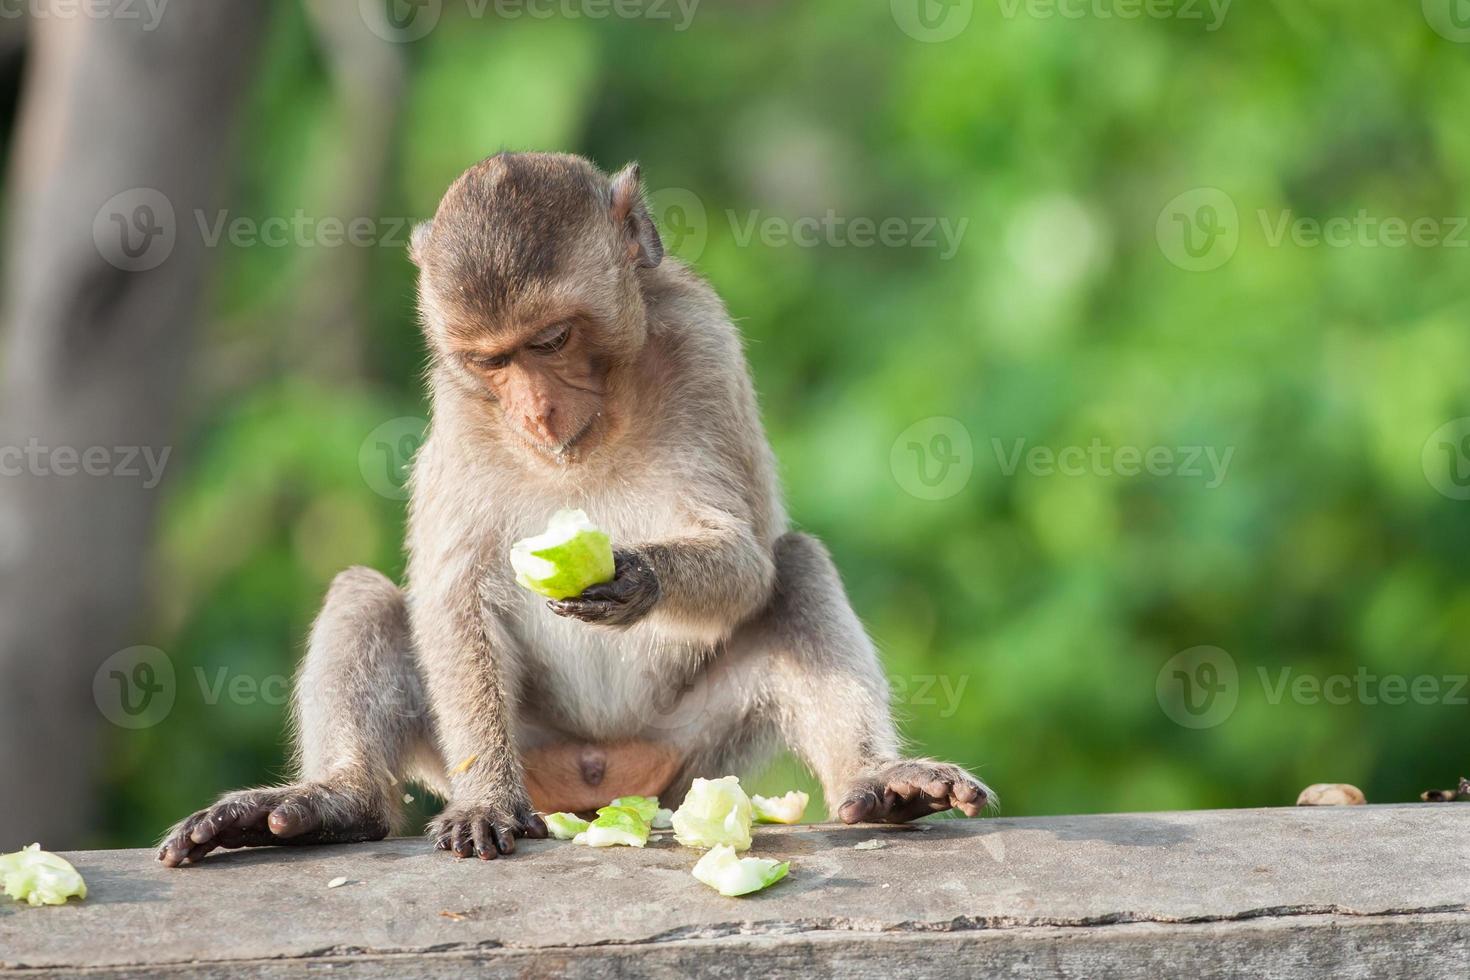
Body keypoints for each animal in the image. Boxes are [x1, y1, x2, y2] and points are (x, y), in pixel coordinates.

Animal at [158, 153, 987, 863]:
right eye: (492, 361)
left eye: (552, 340)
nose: (535, 412)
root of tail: (597, 775)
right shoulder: (459, 402)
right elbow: (455, 590)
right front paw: (487, 800)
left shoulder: (704, 342)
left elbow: (748, 559)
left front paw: (636, 577)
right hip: (532, 746)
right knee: (366, 596)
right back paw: (335, 802)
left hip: (692, 745)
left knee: (797, 564)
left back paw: (874, 781)